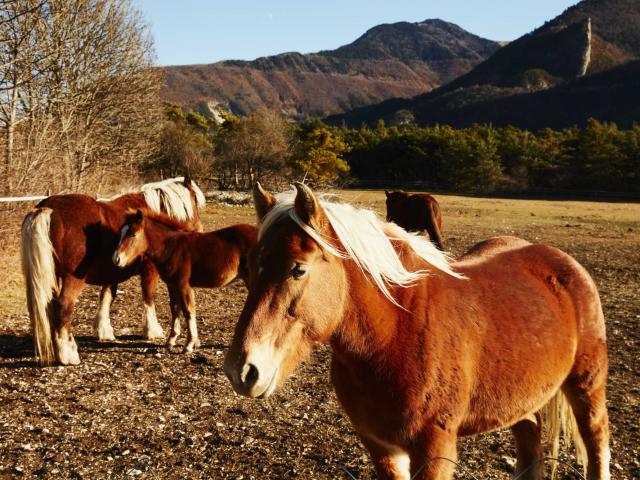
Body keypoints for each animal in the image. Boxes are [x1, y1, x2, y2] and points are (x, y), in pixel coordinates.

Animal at [21, 178, 205, 366]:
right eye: (195, 202)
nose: (199, 230)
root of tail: (48, 208)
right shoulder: (149, 270)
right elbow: (148, 297)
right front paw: (152, 330)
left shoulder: (111, 273)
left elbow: (106, 297)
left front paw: (103, 331)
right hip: (72, 279)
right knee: (63, 306)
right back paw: (68, 354)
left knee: (49, 306)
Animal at [114, 209, 256, 352]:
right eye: (121, 233)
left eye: (133, 234)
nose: (116, 259)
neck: (171, 247)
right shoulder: (172, 285)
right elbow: (175, 309)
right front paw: (171, 340)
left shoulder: (183, 285)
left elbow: (188, 311)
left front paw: (189, 344)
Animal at [225, 182, 608, 478]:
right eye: (248, 268)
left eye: (298, 269)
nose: (241, 370)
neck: (394, 333)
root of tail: (563, 261)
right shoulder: (381, 446)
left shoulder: (435, 448)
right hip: (521, 401)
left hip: (587, 388)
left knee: (597, 445)